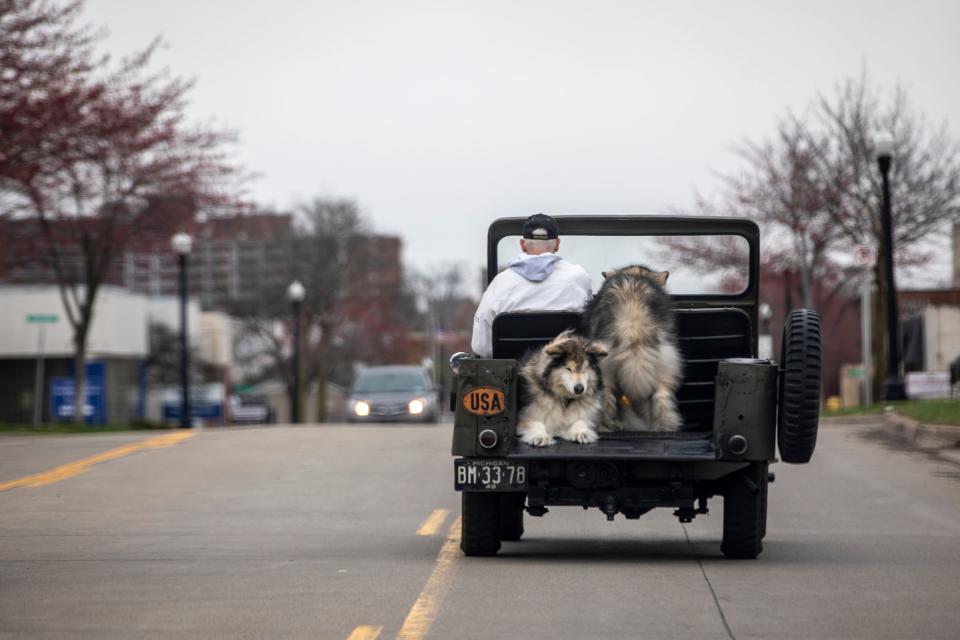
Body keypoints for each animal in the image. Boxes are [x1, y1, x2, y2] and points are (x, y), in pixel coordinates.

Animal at [584, 262, 684, 432]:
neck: (635, 275)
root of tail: (632, 328)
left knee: (607, 401)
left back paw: (605, 426)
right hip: (666, 366)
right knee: (661, 398)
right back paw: (664, 426)